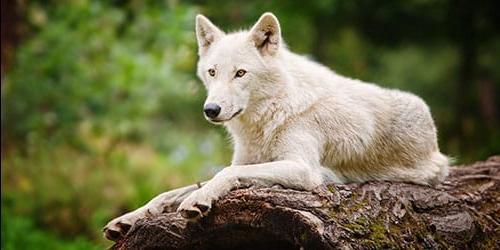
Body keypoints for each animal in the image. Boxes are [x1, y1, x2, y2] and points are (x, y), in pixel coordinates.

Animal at [103, 12, 448, 242]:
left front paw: (197, 201)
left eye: (240, 73)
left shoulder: (304, 170)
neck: (270, 115)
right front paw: (127, 219)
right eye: (212, 72)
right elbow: (169, 192)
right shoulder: (248, 160)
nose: (211, 110)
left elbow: (224, 173)